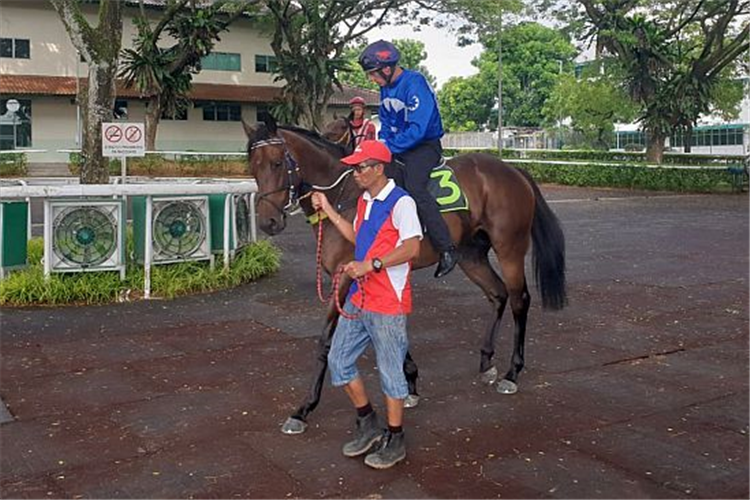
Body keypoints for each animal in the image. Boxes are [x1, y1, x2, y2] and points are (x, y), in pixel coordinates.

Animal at [244, 115, 568, 436]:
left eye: (276, 163)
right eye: (252, 166)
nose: (268, 222)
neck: (345, 196)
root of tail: (514, 170)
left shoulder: (346, 276)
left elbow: (326, 339)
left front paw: (303, 409)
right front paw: (410, 381)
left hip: (509, 248)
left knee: (519, 299)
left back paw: (512, 373)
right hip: (471, 255)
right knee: (498, 294)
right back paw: (487, 361)